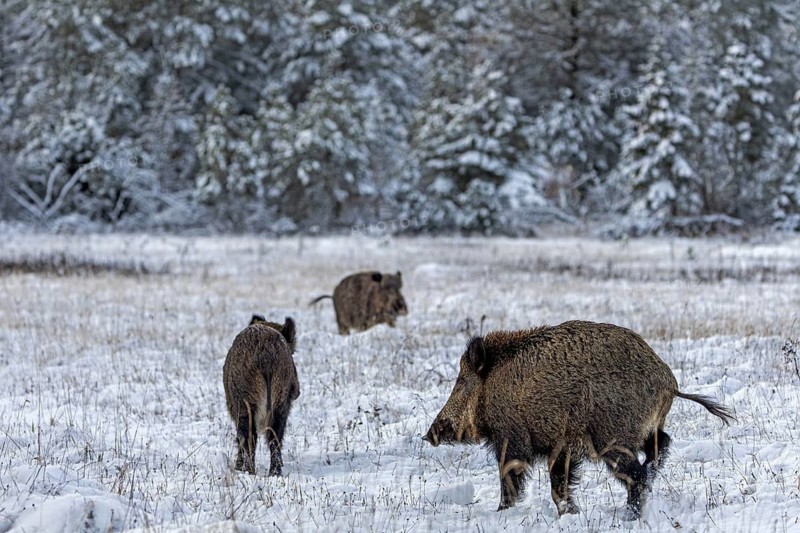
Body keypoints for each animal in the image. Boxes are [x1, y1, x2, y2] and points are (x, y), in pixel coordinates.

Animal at [223, 315, 300, 475]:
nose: (297, 392)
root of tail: (265, 356)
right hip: (280, 400)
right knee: (275, 436)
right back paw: (275, 473)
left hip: (245, 400)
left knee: (248, 437)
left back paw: (248, 471)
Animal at [423, 320, 734, 519]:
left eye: (461, 382)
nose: (428, 435)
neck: (491, 389)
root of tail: (669, 382)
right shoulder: (563, 448)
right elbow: (558, 484)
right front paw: (570, 513)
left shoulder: (513, 440)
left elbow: (511, 477)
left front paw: (501, 513)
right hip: (642, 429)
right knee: (661, 445)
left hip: (613, 438)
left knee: (636, 474)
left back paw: (630, 516)